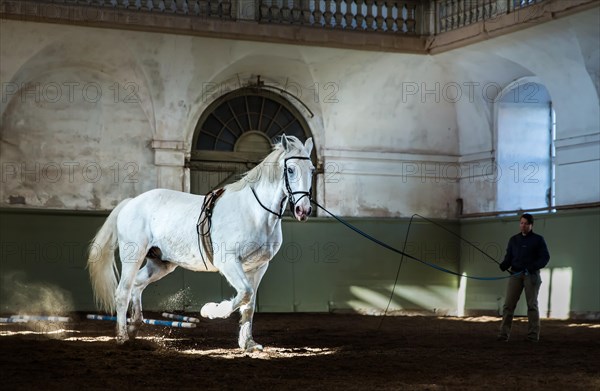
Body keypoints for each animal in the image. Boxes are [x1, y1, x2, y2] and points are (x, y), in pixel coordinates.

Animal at [88, 136, 318, 352]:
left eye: (312, 170)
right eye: (290, 169)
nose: (303, 210)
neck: (255, 212)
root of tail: (131, 202)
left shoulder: (258, 267)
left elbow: (249, 304)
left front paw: (249, 343)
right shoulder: (229, 262)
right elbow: (244, 293)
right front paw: (212, 310)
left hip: (161, 263)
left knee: (137, 285)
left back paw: (134, 326)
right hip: (133, 256)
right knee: (123, 292)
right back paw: (122, 337)